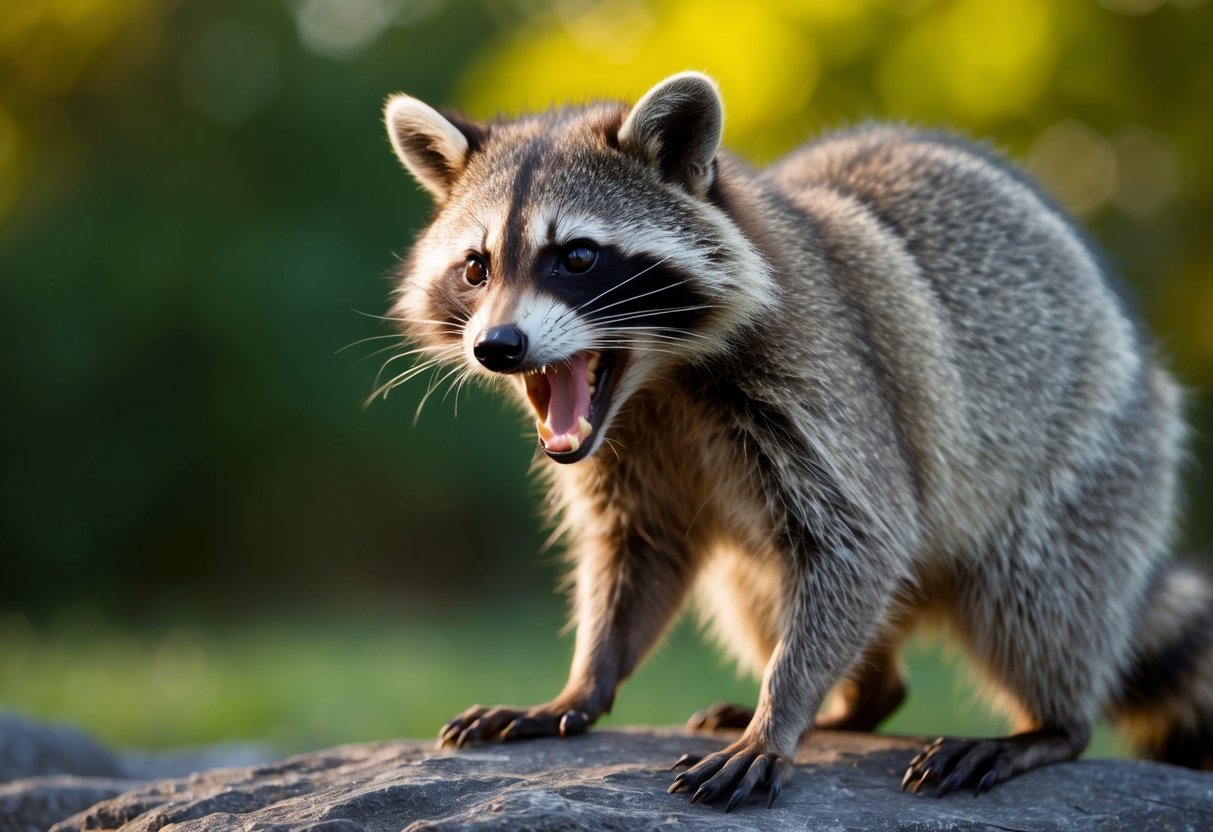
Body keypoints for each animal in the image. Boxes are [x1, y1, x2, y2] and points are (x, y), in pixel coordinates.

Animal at [381, 72, 1208, 809]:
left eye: (577, 257)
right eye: (476, 267)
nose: (497, 347)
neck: (658, 378)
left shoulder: (823, 376)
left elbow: (861, 539)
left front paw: (780, 713)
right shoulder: (629, 451)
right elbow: (638, 551)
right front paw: (584, 681)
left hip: (1099, 458)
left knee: (1037, 590)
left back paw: (1046, 724)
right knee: (752, 591)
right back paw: (859, 699)